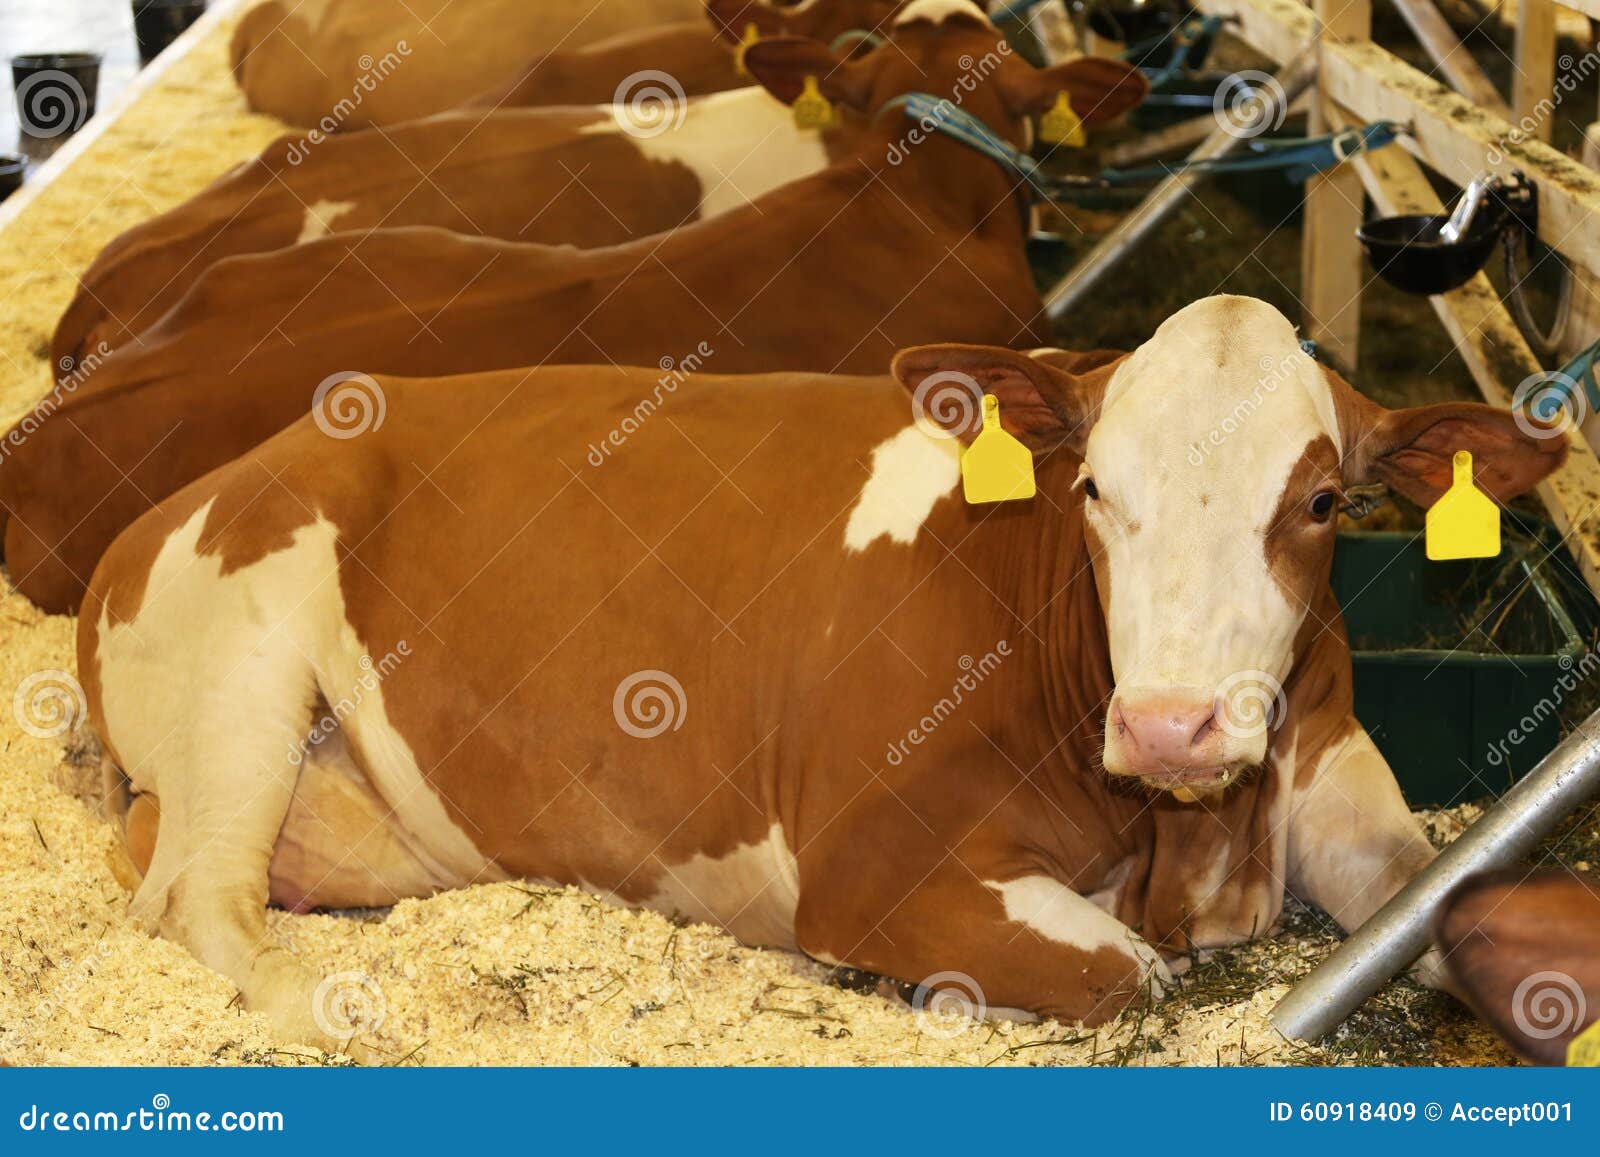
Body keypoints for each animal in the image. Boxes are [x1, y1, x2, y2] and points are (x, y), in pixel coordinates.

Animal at [79, 295, 1566, 1053]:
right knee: (194, 894)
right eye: (1094, 486)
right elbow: (1128, 973)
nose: (1173, 726)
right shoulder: (874, 863)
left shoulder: (1327, 760)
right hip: (243, 657)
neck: (1191, 841)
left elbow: (1431, 892)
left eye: (1320, 502)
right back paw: (327, 1010)